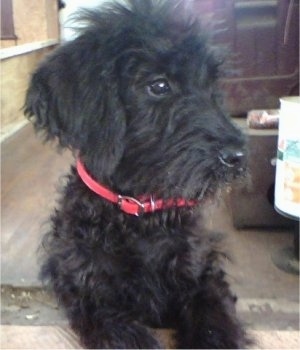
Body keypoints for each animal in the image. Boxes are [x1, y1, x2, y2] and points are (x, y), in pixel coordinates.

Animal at [25, 0, 251, 348]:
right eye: (159, 85)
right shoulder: (88, 290)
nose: (238, 156)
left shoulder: (202, 273)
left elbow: (215, 320)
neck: (141, 214)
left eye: (212, 86)